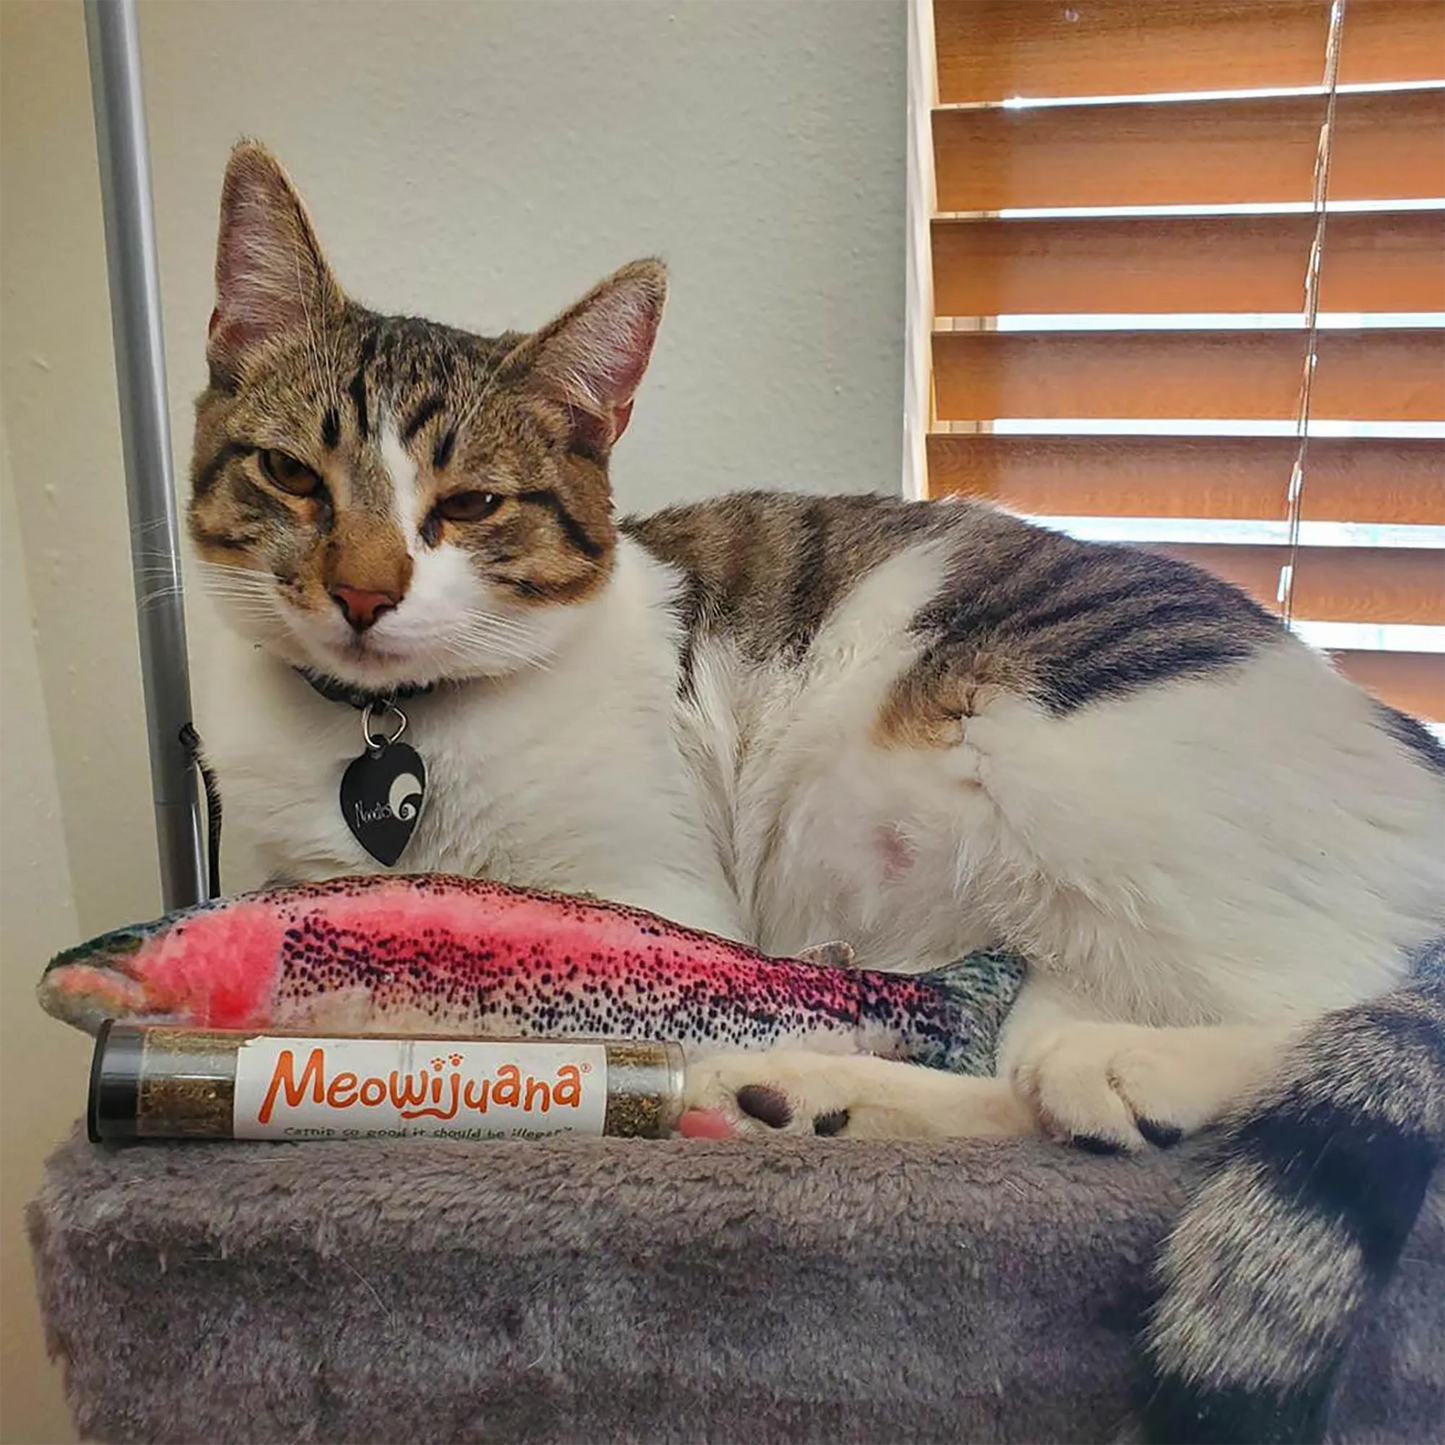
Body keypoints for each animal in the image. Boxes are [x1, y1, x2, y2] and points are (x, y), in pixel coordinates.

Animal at [189, 137, 1445, 1445]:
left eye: (472, 504)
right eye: (290, 475)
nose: (363, 591)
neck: (392, 728)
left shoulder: (654, 893)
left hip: (1075, 775)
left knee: (1333, 999)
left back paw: (1119, 1069)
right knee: (1015, 1082)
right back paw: (805, 1096)